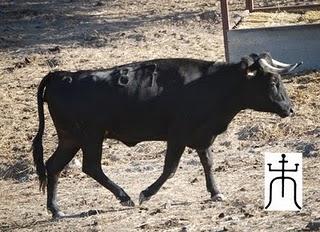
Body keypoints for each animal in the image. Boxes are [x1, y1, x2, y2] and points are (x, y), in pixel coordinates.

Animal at [31, 53, 302, 218]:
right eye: (273, 82)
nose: (290, 109)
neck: (211, 85)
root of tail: (63, 75)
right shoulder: (178, 134)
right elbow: (170, 168)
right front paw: (146, 194)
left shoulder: (202, 135)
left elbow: (208, 163)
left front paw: (215, 193)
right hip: (91, 137)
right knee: (91, 166)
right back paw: (124, 197)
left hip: (70, 138)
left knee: (53, 166)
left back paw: (55, 209)